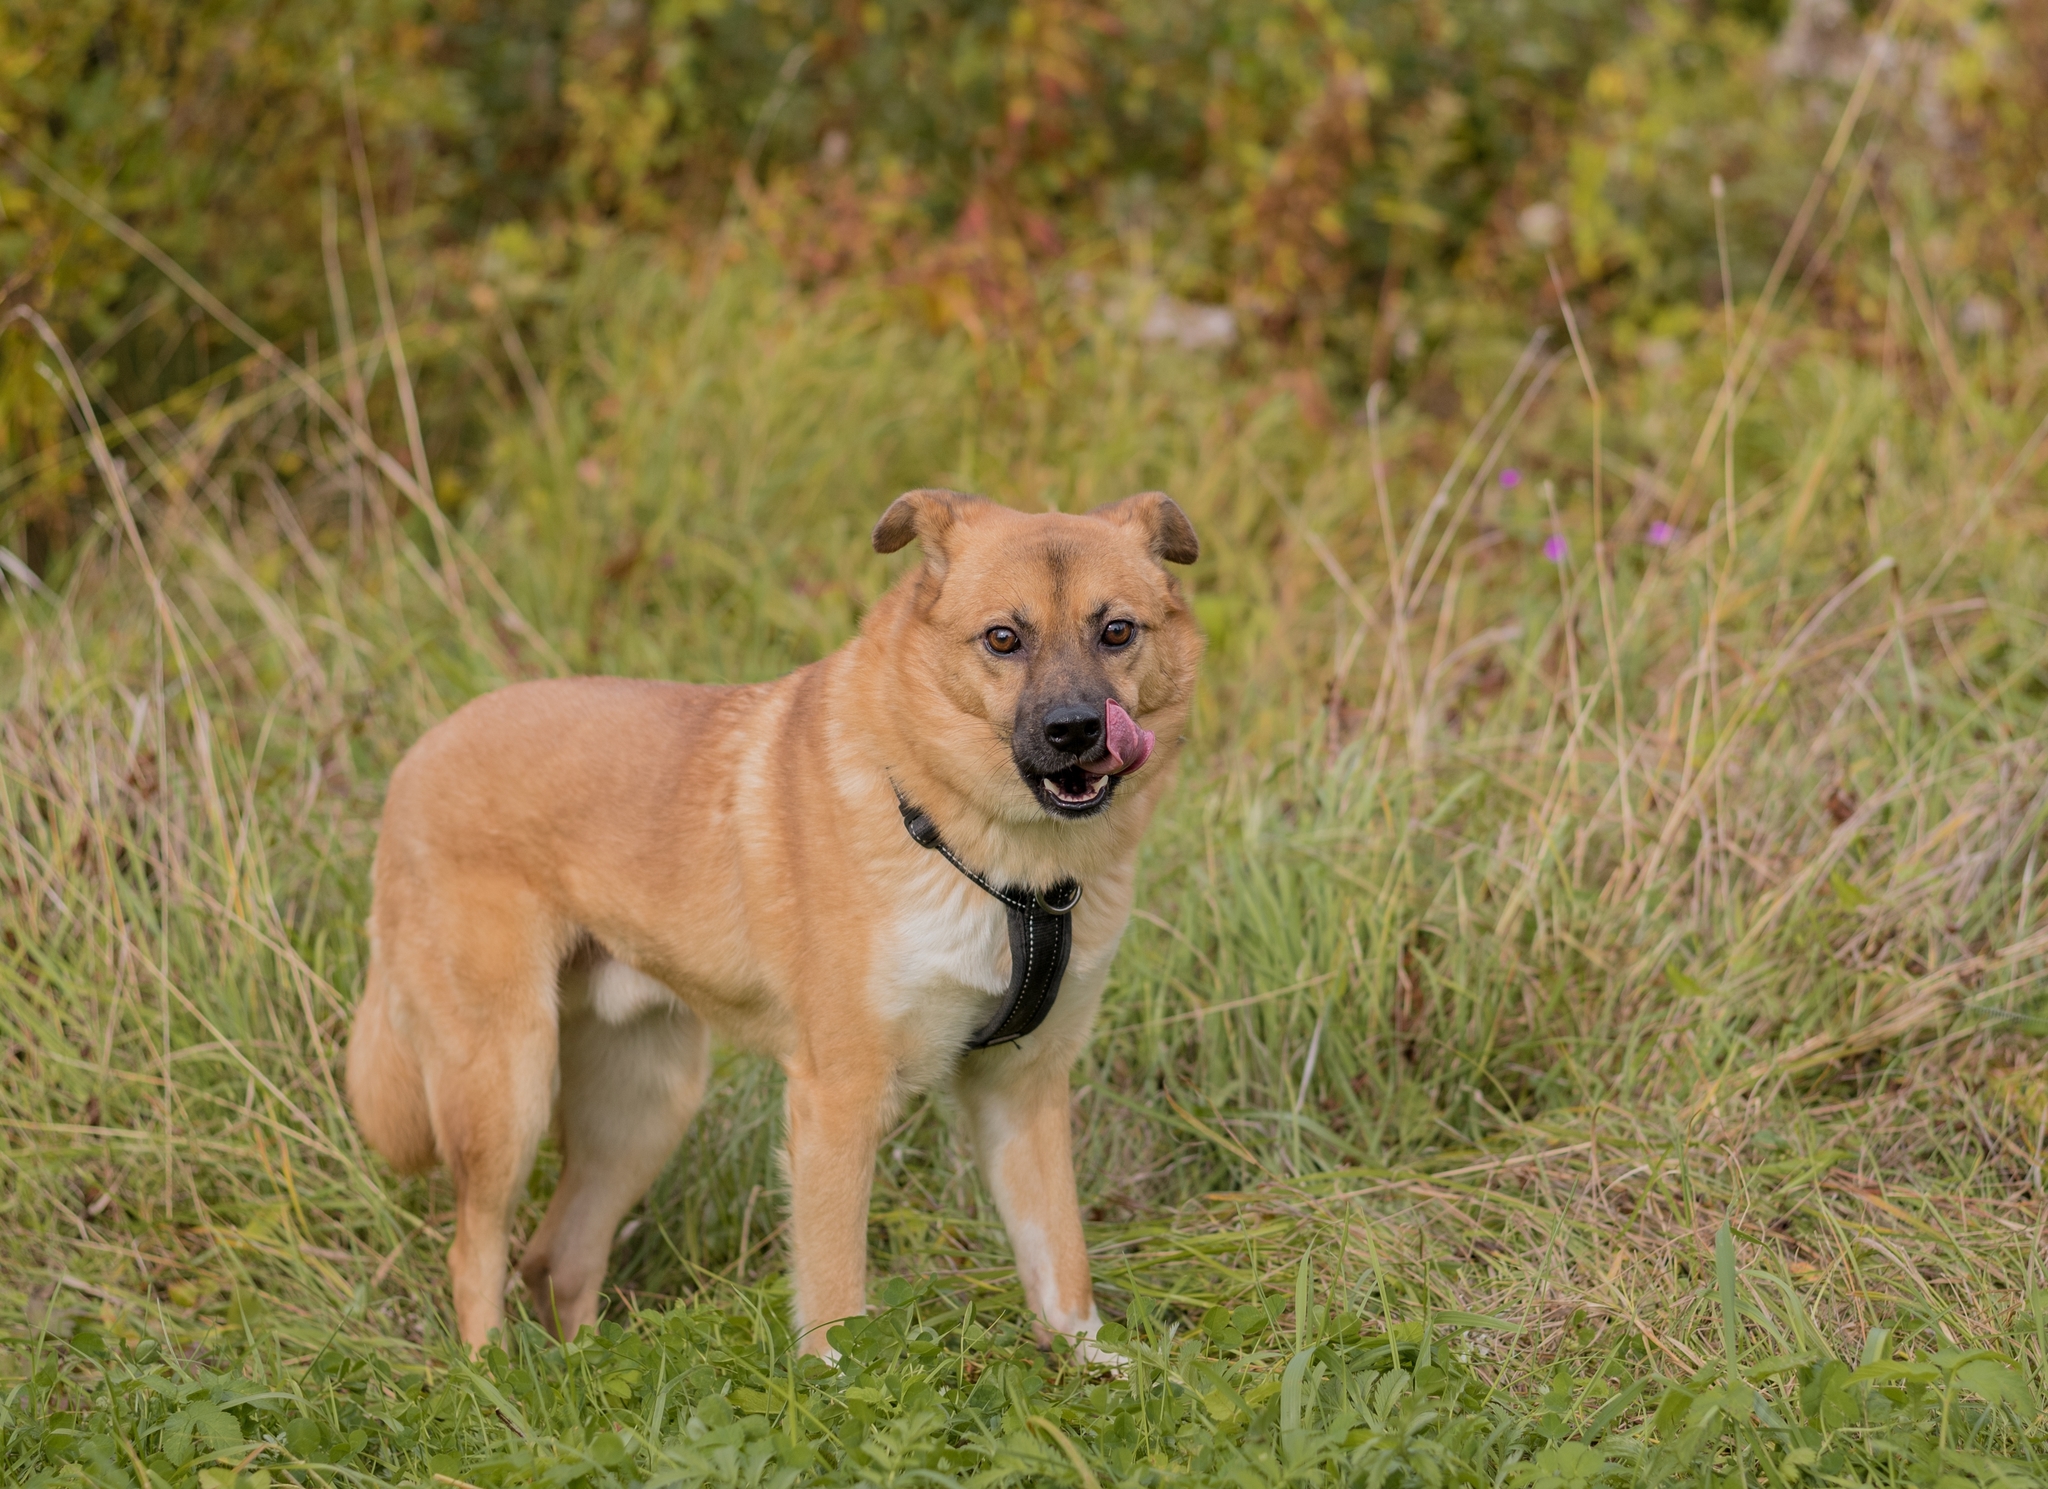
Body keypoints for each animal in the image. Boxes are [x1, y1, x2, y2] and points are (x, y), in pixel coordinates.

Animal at [339, 485, 1196, 1351]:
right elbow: (836, 1298)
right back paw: (492, 1372)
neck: (991, 859)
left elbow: (1062, 1266)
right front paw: (842, 1379)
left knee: (559, 1260)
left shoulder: (1023, 1090)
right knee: (475, 1250)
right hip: (506, 1084)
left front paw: (1094, 1368)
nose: (1077, 730)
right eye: (1003, 638)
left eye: (1116, 631)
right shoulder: (838, 1101)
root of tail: (417, 758)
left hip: (641, 1106)